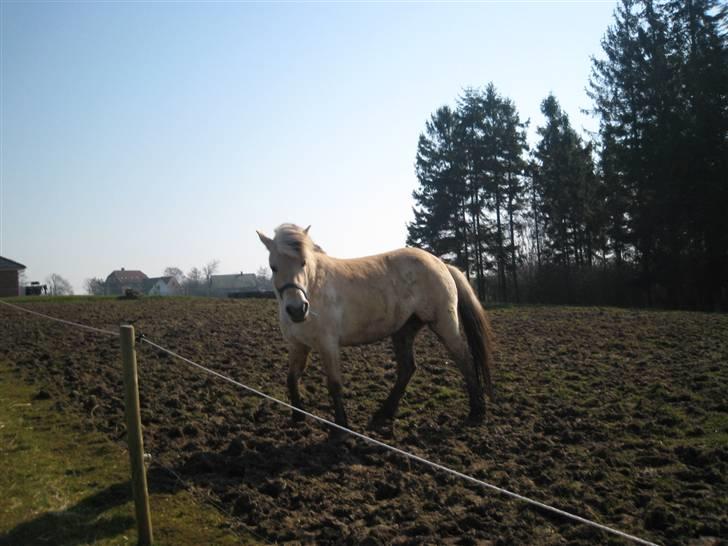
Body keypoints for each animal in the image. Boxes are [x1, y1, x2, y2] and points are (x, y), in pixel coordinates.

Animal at [256, 222, 494, 434]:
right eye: (273, 267)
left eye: (304, 263)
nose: (297, 309)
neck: (314, 289)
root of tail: (442, 263)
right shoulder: (297, 345)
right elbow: (292, 378)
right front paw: (298, 415)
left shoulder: (328, 344)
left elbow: (334, 384)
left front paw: (341, 427)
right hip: (403, 331)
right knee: (407, 368)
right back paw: (384, 413)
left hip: (444, 323)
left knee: (464, 359)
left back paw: (477, 411)